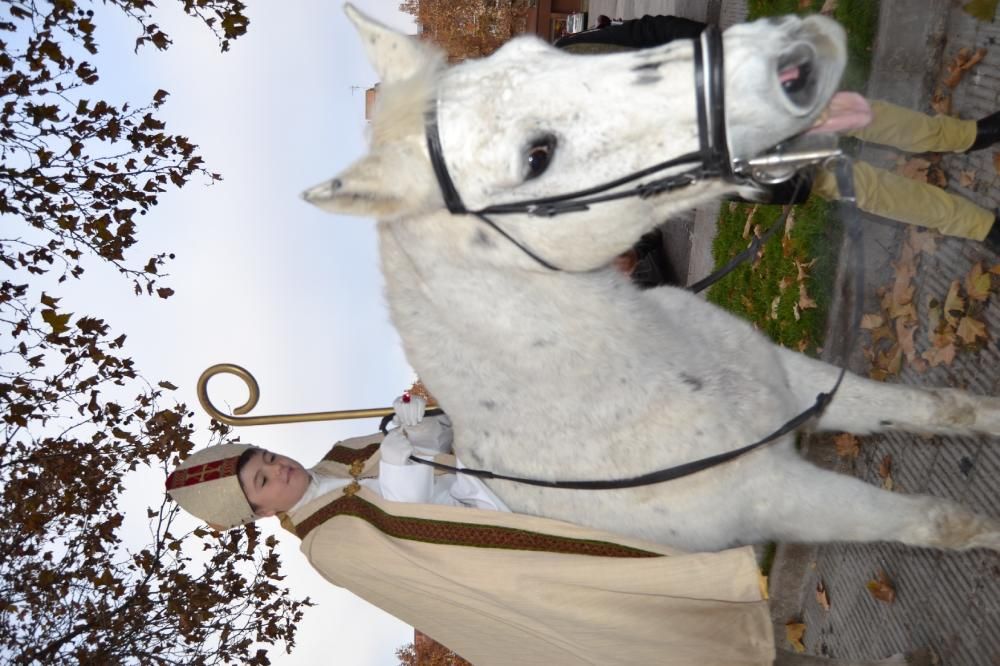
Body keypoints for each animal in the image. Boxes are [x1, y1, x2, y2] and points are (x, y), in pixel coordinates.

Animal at [306, 7, 1000, 556]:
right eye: (537, 156)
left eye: (536, 51)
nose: (799, 56)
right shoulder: (788, 497)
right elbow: (940, 524)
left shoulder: (795, 379)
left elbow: (939, 407)